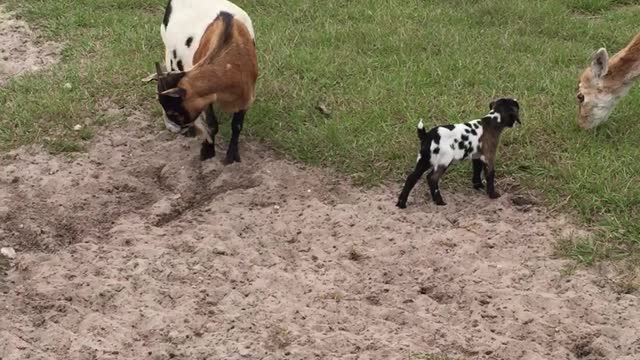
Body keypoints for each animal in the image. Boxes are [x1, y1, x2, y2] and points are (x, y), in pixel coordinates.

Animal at [150, 5, 258, 163]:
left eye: (173, 112)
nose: (171, 129)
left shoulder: (246, 98)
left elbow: (237, 126)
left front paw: (232, 156)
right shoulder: (206, 99)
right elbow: (212, 124)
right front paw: (207, 151)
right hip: (171, 58)